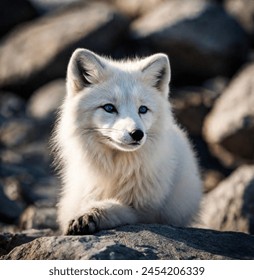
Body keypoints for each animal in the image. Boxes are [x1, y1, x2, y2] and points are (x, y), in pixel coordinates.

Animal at [52, 48, 202, 234]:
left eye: (143, 109)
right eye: (109, 108)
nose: (137, 134)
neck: (118, 168)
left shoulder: (147, 212)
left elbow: (118, 208)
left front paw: (90, 215)